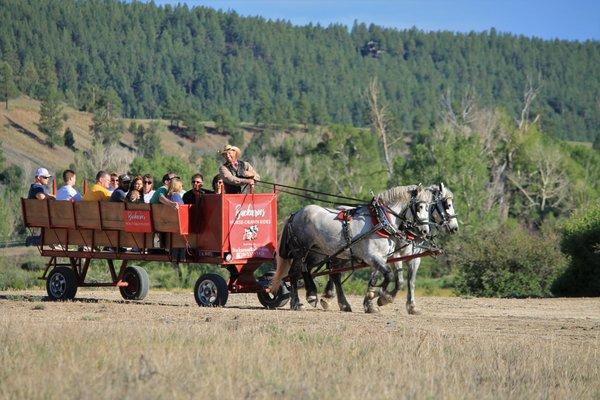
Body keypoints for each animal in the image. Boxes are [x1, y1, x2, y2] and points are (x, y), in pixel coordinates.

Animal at [270, 184, 432, 312]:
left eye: (429, 208)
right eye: (419, 206)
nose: (425, 231)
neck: (379, 220)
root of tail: (295, 214)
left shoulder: (383, 257)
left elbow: (380, 277)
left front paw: (374, 298)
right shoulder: (372, 256)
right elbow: (389, 275)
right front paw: (381, 296)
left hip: (318, 252)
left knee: (309, 269)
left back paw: (315, 296)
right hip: (300, 250)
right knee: (294, 273)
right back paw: (296, 303)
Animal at [324, 183, 460, 314]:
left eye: (427, 208)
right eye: (447, 205)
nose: (455, 228)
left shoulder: (413, 258)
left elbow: (410, 281)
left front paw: (411, 306)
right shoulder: (393, 255)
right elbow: (396, 280)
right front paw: (381, 299)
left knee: (335, 272)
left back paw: (330, 297)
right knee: (335, 272)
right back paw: (332, 299)